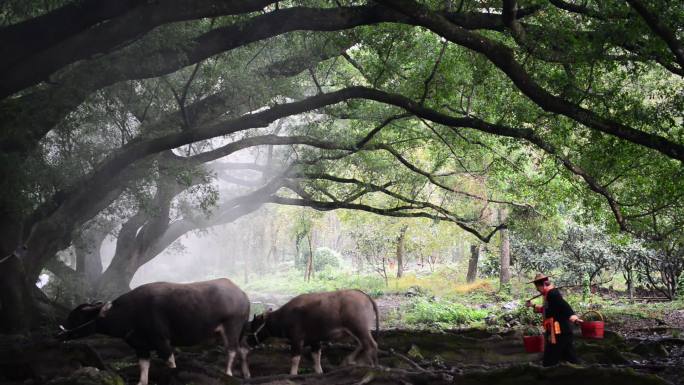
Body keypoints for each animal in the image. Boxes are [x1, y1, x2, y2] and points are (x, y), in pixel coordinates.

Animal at [58, 278, 251, 382]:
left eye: (76, 317)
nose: (59, 333)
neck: (131, 313)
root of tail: (243, 294)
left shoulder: (162, 342)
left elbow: (170, 364)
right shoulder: (140, 347)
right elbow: (144, 371)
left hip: (232, 326)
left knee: (232, 350)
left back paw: (228, 373)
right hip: (241, 330)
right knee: (243, 349)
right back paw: (247, 374)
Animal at [250, 288, 380, 376]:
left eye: (253, 325)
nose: (248, 341)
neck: (284, 316)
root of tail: (364, 295)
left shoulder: (297, 339)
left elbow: (295, 358)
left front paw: (293, 374)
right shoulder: (315, 340)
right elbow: (316, 357)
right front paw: (319, 372)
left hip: (359, 328)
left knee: (371, 345)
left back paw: (372, 366)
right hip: (357, 330)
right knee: (362, 344)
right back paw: (349, 361)